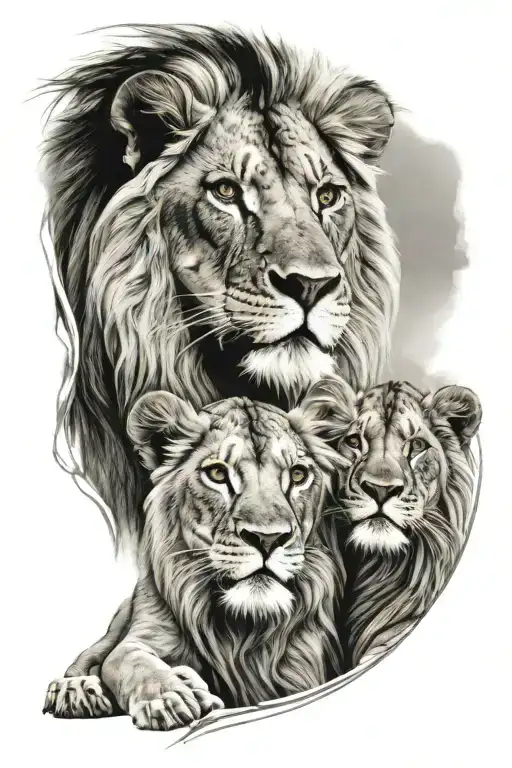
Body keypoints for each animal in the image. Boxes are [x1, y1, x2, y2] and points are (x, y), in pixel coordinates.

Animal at [43, 390, 346, 727]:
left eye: (297, 475)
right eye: (217, 474)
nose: (268, 539)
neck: (243, 627)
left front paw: (187, 687)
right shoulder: (141, 638)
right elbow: (130, 661)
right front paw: (168, 699)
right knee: (89, 658)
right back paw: (77, 690)